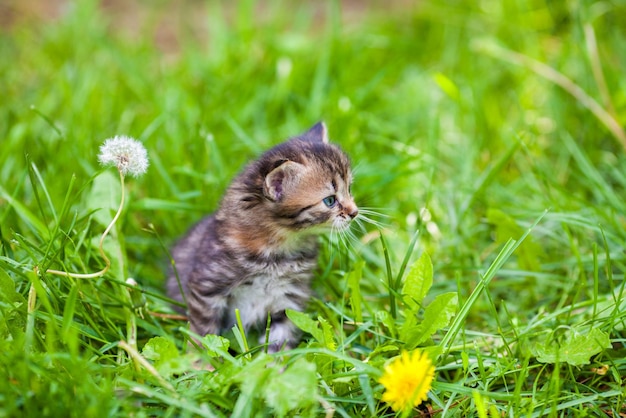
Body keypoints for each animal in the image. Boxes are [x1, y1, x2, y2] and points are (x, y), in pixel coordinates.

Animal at [166, 122, 356, 352]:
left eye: (349, 189)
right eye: (330, 201)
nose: (355, 212)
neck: (276, 252)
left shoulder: (290, 298)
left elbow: (282, 337)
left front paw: (278, 362)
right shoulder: (207, 287)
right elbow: (202, 332)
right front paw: (200, 359)